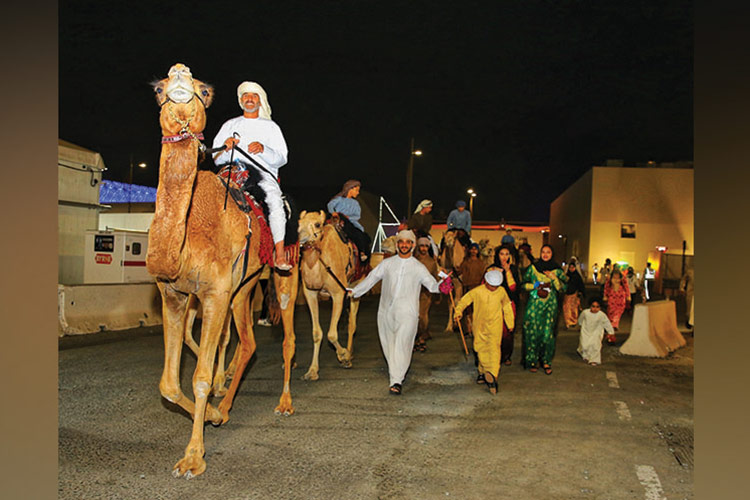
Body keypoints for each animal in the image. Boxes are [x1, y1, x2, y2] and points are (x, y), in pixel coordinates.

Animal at [145, 64, 302, 478]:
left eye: (203, 89)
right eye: (159, 89)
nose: (179, 73)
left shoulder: (214, 293)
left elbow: (199, 378)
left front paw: (192, 457)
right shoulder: (175, 293)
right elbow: (169, 384)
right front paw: (214, 413)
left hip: (285, 274)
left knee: (288, 338)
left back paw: (284, 403)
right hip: (243, 287)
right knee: (247, 343)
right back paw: (226, 406)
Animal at [300, 210, 370, 378]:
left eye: (318, 224)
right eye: (298, 224)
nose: (303, 239)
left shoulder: (338, 293)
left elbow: (331, 334)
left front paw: (344, 356)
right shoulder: (310, 293)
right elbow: (316, 333)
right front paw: (312, 371)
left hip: (357, 286)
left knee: (352, 323)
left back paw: (349, 353)